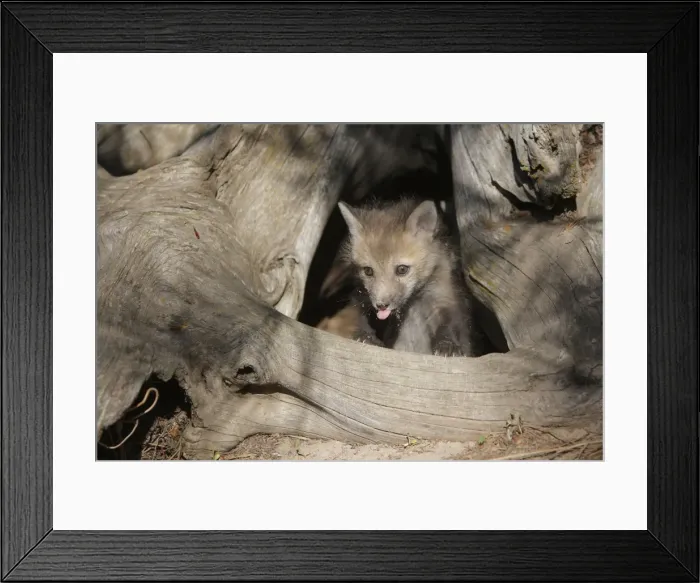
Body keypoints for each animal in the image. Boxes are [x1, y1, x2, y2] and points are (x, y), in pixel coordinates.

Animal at [336, 197, 479, 357]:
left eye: (402, 269)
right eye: (368, 271)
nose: (381, 305)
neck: (412, 304)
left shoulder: (445, 298)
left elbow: (450, 324)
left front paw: (447, 345)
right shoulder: (361, 297)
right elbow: (359, 318)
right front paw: (365, 336)